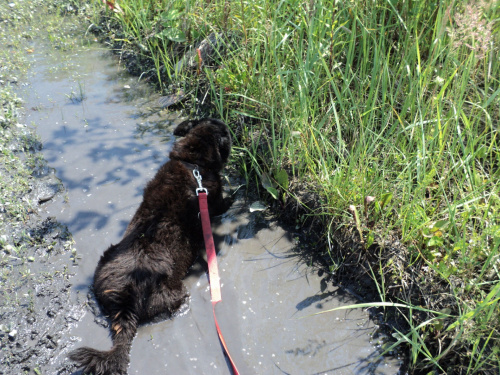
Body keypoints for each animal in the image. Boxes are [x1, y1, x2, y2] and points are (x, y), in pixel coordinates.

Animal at [69, 118, 232, 375]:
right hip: (174, 294)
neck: (193, 164)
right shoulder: (213, 201)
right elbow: (222, 204)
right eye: (222, 128)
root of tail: (126, 301)